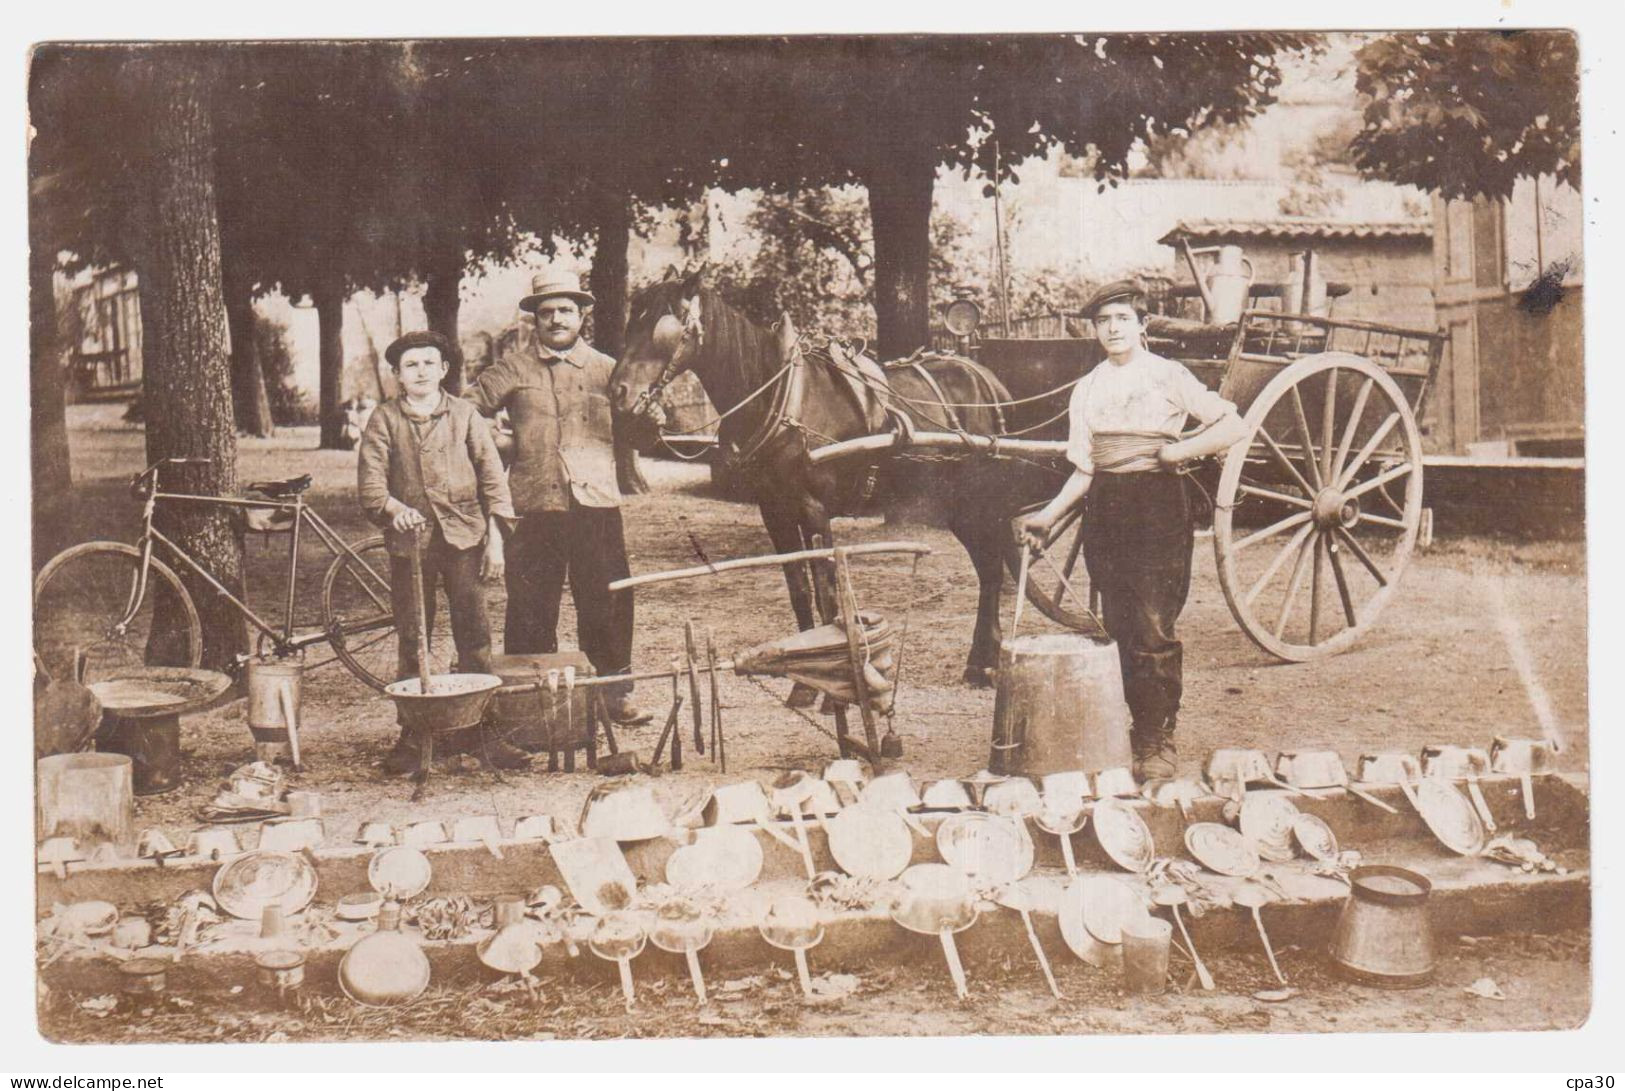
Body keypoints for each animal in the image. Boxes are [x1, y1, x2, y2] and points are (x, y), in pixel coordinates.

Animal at [607, 268, 1053, 686]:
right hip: (960, 507)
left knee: (992, 571)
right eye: (630, 322)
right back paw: (982, 661)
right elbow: (800, 589)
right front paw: (797, 662)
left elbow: (827, 593)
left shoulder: (815, 510)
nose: (618, 391)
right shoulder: (775, 511)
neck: (779, 398)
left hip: (981, 502)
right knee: (987, 569)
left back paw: (984, 664)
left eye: (663, 328)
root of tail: (989, 381)